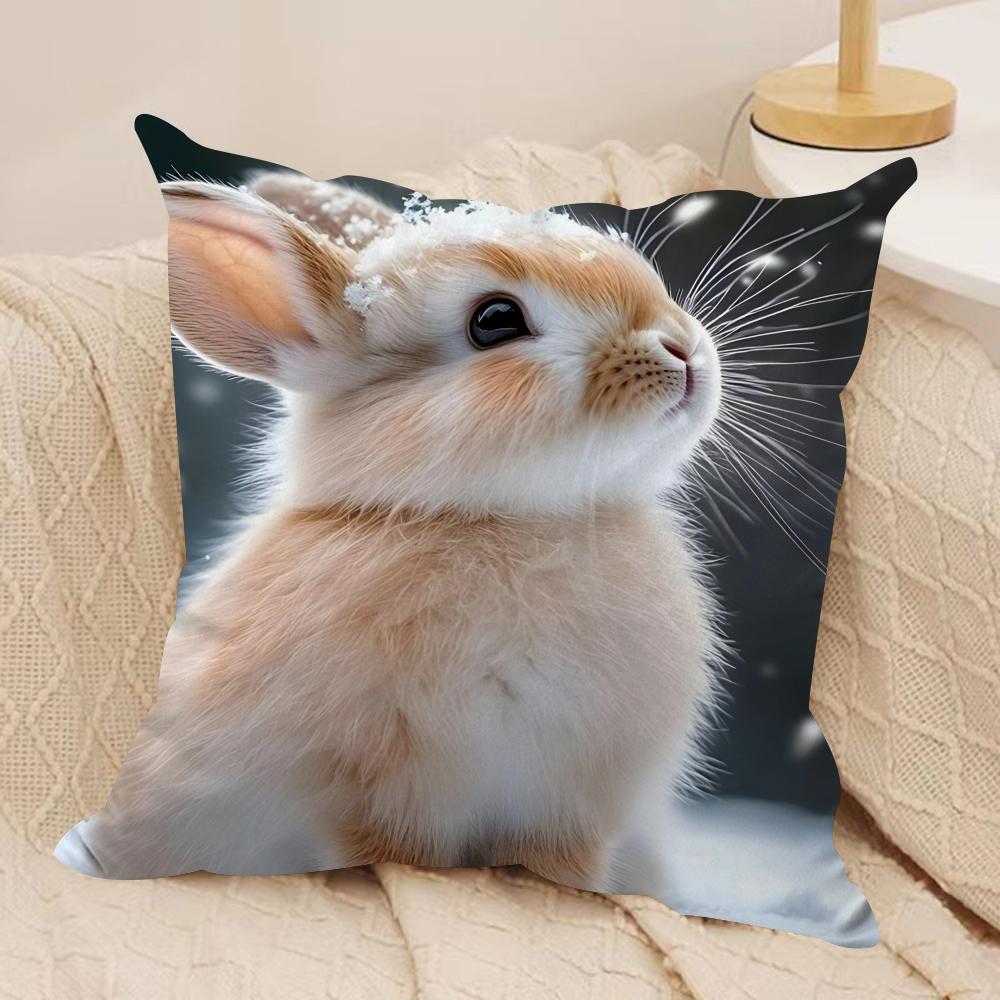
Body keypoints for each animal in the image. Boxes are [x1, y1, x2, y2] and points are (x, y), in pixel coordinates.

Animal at [54, 172, 724, 899]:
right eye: (495, 320)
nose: (682, 349)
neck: (512, 519)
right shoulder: (384, 796)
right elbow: (398, 861)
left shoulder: (569, 813)